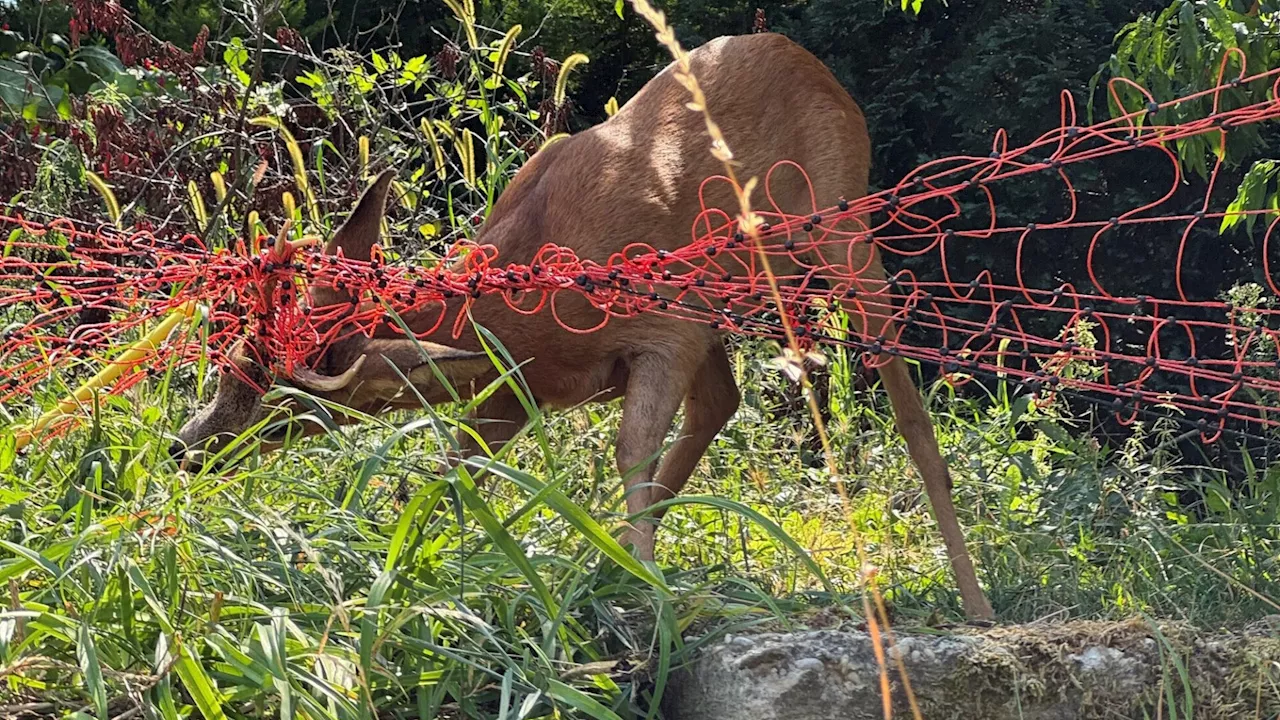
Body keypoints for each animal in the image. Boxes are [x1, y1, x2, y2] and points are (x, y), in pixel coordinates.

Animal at [170, 32, 993, 617]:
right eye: (231, 361)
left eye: (283, 407)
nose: (184, 450)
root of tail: (817, 68)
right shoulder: (519, 388)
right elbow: (453, 475)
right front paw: (394, 568)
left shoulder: (665, 328)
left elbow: (630, 452)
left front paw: (652, 595)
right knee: (722, 403)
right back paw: (608, 562)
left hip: (843, 232)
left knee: (908, 404)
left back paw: (974, 600)